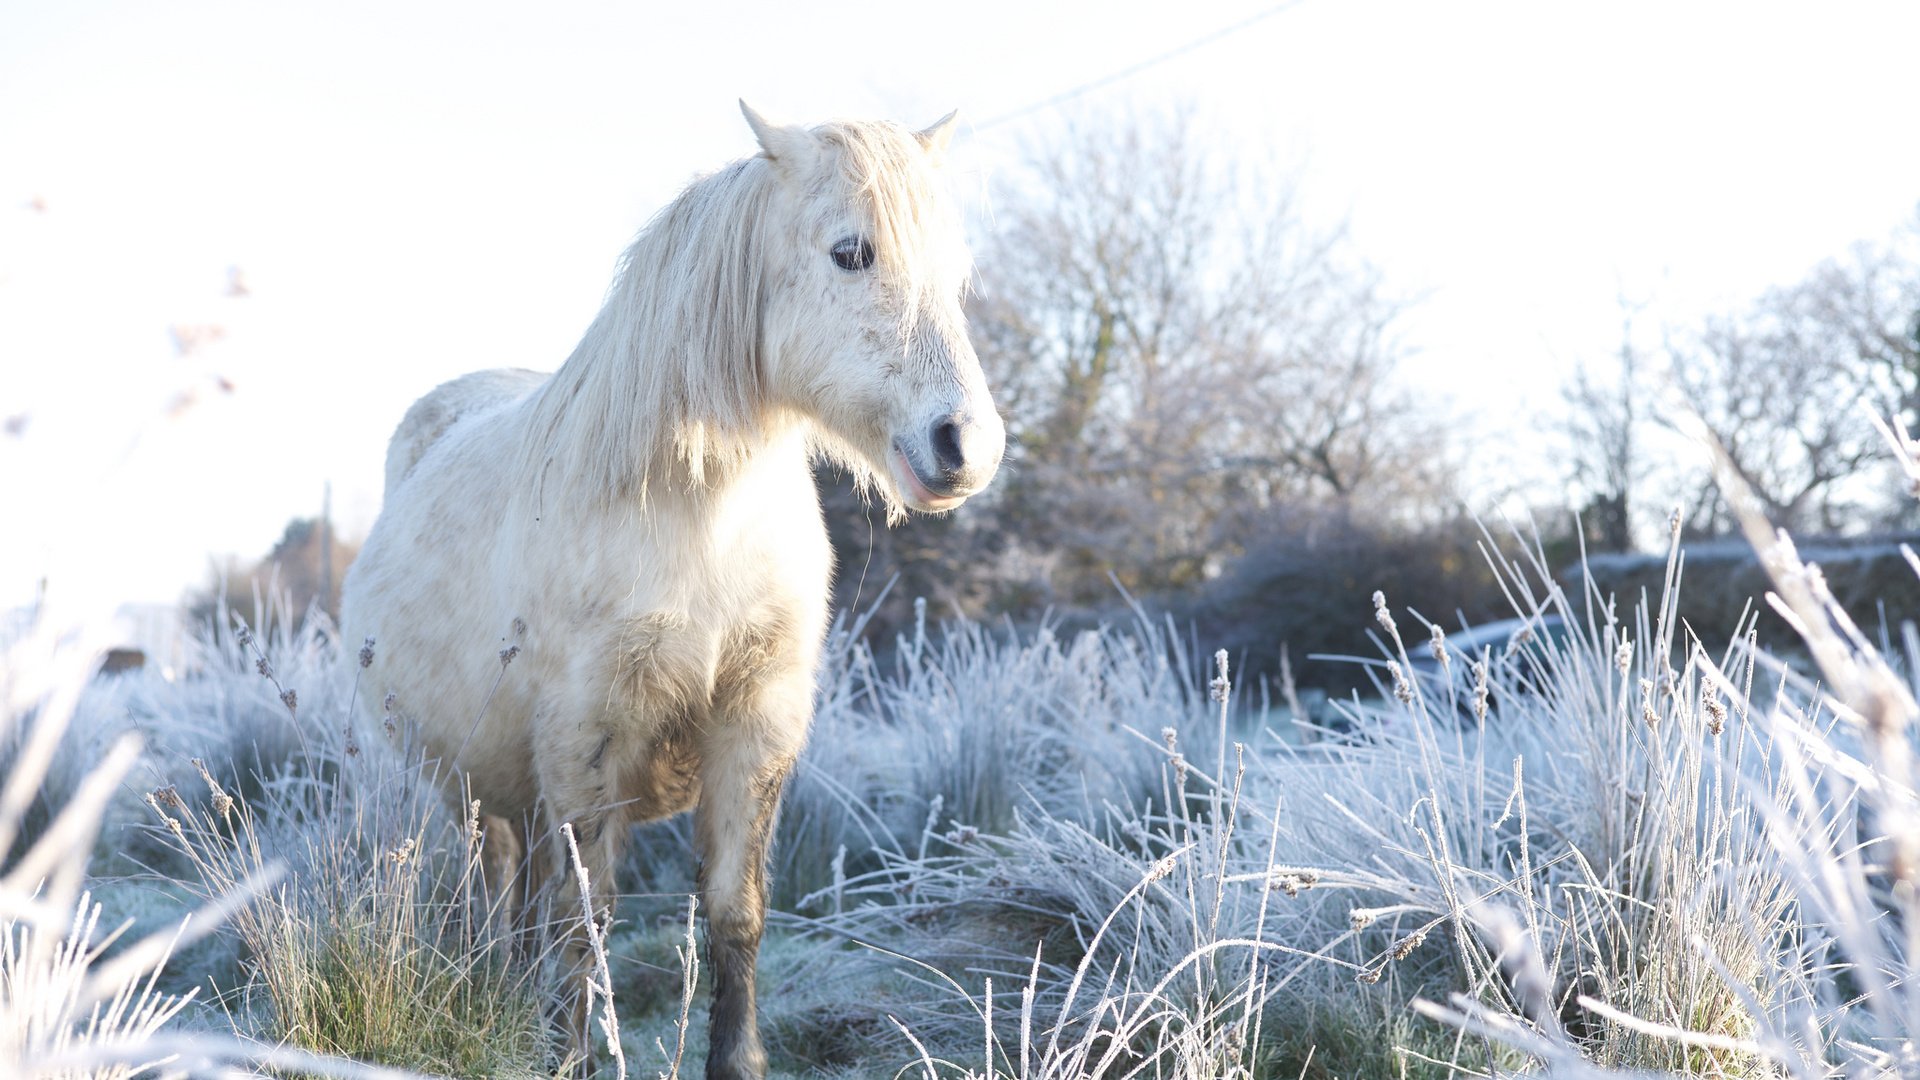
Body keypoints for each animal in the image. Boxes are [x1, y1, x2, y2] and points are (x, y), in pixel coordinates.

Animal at [343, 102, 1006, 1076]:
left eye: (954, 274)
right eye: (852, 252)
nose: (967, 446)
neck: (699, 518)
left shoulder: (755, 726)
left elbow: (734, 909)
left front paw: (736, 1059)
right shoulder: (586, 741)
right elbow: (585, 924)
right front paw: (570, 1057)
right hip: (469, 787)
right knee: (495, 890)